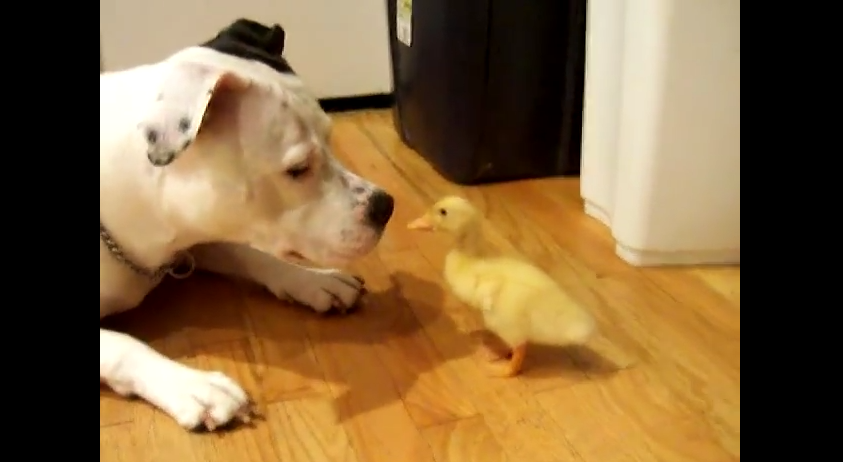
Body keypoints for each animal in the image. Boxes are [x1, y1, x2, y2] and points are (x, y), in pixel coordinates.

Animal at [99, 20, 396, 434]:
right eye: (297, 169)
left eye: (330, 137)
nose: (385, 206)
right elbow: (121, 345)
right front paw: (192, 386)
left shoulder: (197, 232)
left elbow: (246, 253)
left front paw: (314, 280)